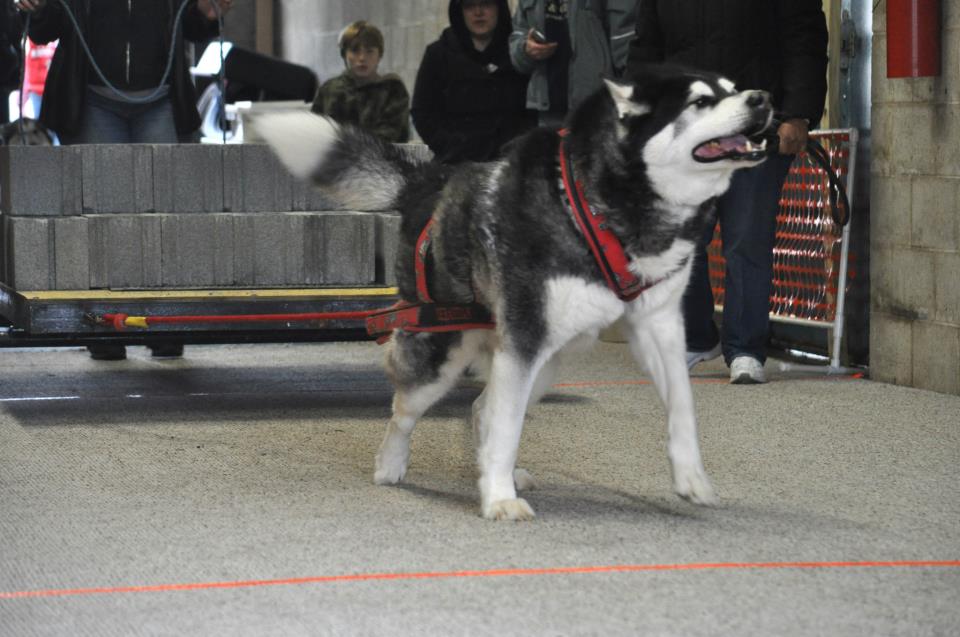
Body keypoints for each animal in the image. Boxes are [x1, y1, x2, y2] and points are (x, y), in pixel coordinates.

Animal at [255, 67, 772, 520]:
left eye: (734, 87)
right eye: (700, 102)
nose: (763, 98)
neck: (600, 206)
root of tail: (432, 180)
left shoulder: (658, 325)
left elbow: (682, 402)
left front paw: (691, 477)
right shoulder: (524, 337)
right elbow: (506, 426)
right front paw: (499, 500)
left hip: (544, 361)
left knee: (483, 406)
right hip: (449, 349)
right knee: (407, 408)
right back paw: (393, 464)